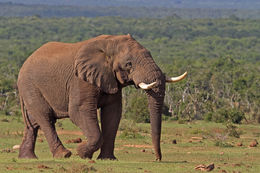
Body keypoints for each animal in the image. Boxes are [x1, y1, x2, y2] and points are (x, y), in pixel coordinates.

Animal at [17, 34, 187, 161]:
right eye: (129, 64)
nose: (157, 159)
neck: (109, 44)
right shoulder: (80, 80)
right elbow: (78, 111)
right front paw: (81, 152)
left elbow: (113, 113)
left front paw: (107, 159)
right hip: (30, 86)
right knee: (46, 118)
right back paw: (64, 155)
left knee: (33, 123)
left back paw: (27, 158)